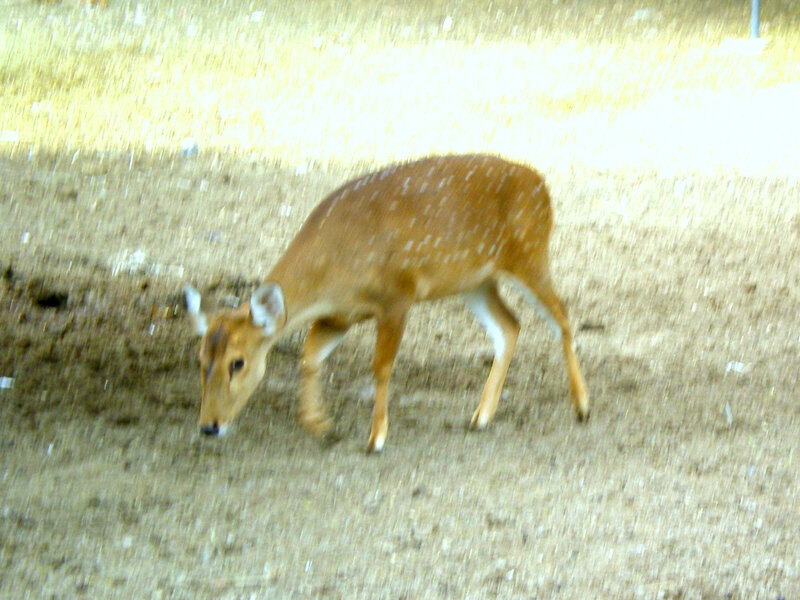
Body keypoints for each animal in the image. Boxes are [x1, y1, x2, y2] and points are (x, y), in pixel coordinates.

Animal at [184, 154, 588, 452]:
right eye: (200, 360)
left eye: (237, 362)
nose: (208, 426)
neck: (334, 269)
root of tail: (542, 186)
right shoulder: (339, 316)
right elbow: (309, 356)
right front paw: (320, 425)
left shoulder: (397, 295)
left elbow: (380, 367)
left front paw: (375, 438)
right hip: (474, 281)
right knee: (509, 326)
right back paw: (480, 417)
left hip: (529, 254)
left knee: (563, 315)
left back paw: (582, 406)